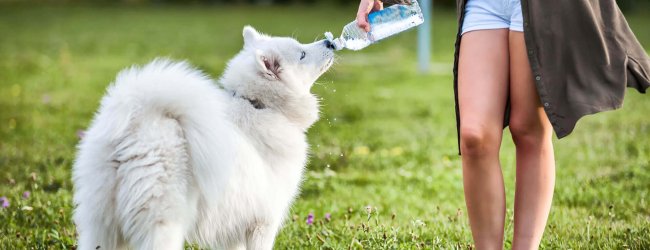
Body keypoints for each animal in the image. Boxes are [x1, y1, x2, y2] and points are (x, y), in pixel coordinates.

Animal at [71, 26, 334, 249]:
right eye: (302, 54)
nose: (330, 42)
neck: (258, 105)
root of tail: (139, 120)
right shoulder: (262, 223)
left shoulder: (234, 226)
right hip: (163, 223)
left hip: (101, 224)